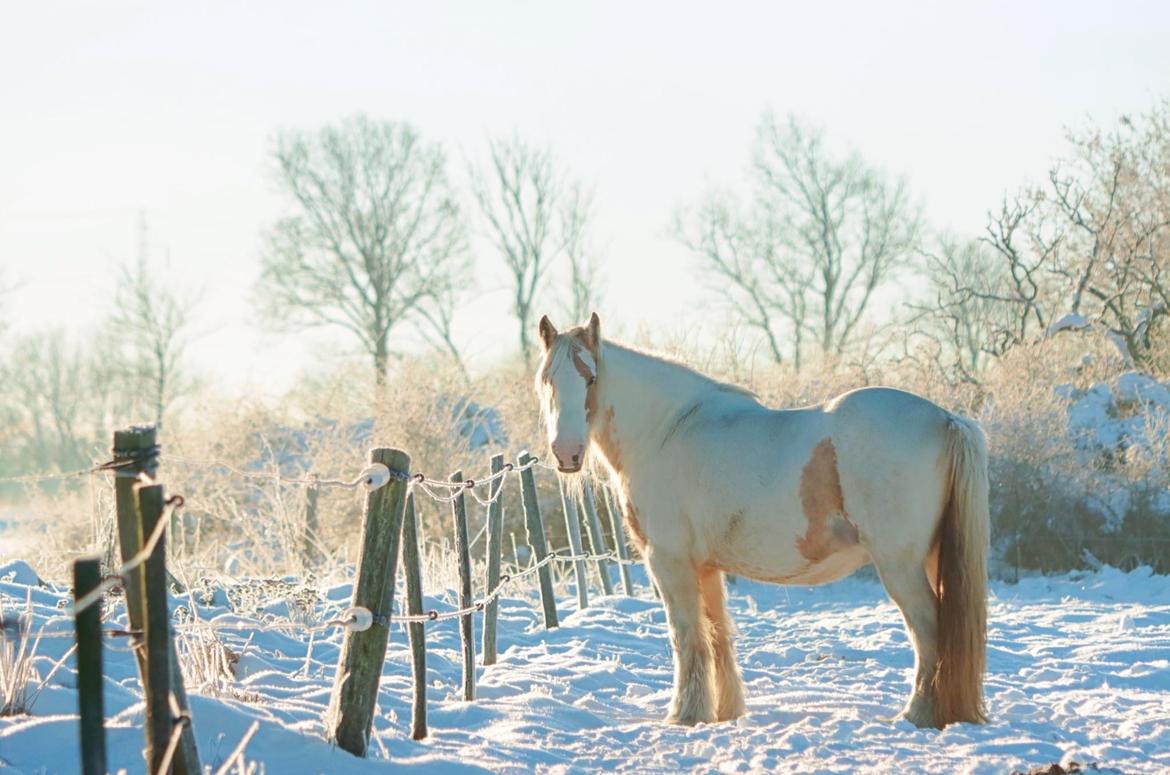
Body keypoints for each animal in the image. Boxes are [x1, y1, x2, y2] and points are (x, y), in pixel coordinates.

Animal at [535, 313, 992, 730]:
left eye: (591, 379)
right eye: (547, 382)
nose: (567, 453)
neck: (666, 431)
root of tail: (946, 419)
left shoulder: (669, 561)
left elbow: (687, 637)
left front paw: (685, 715)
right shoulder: (706, 567)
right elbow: (717, 634)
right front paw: (724, 712)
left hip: (901, 567)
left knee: (929, 633)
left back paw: (917, 715)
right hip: (930, 559)